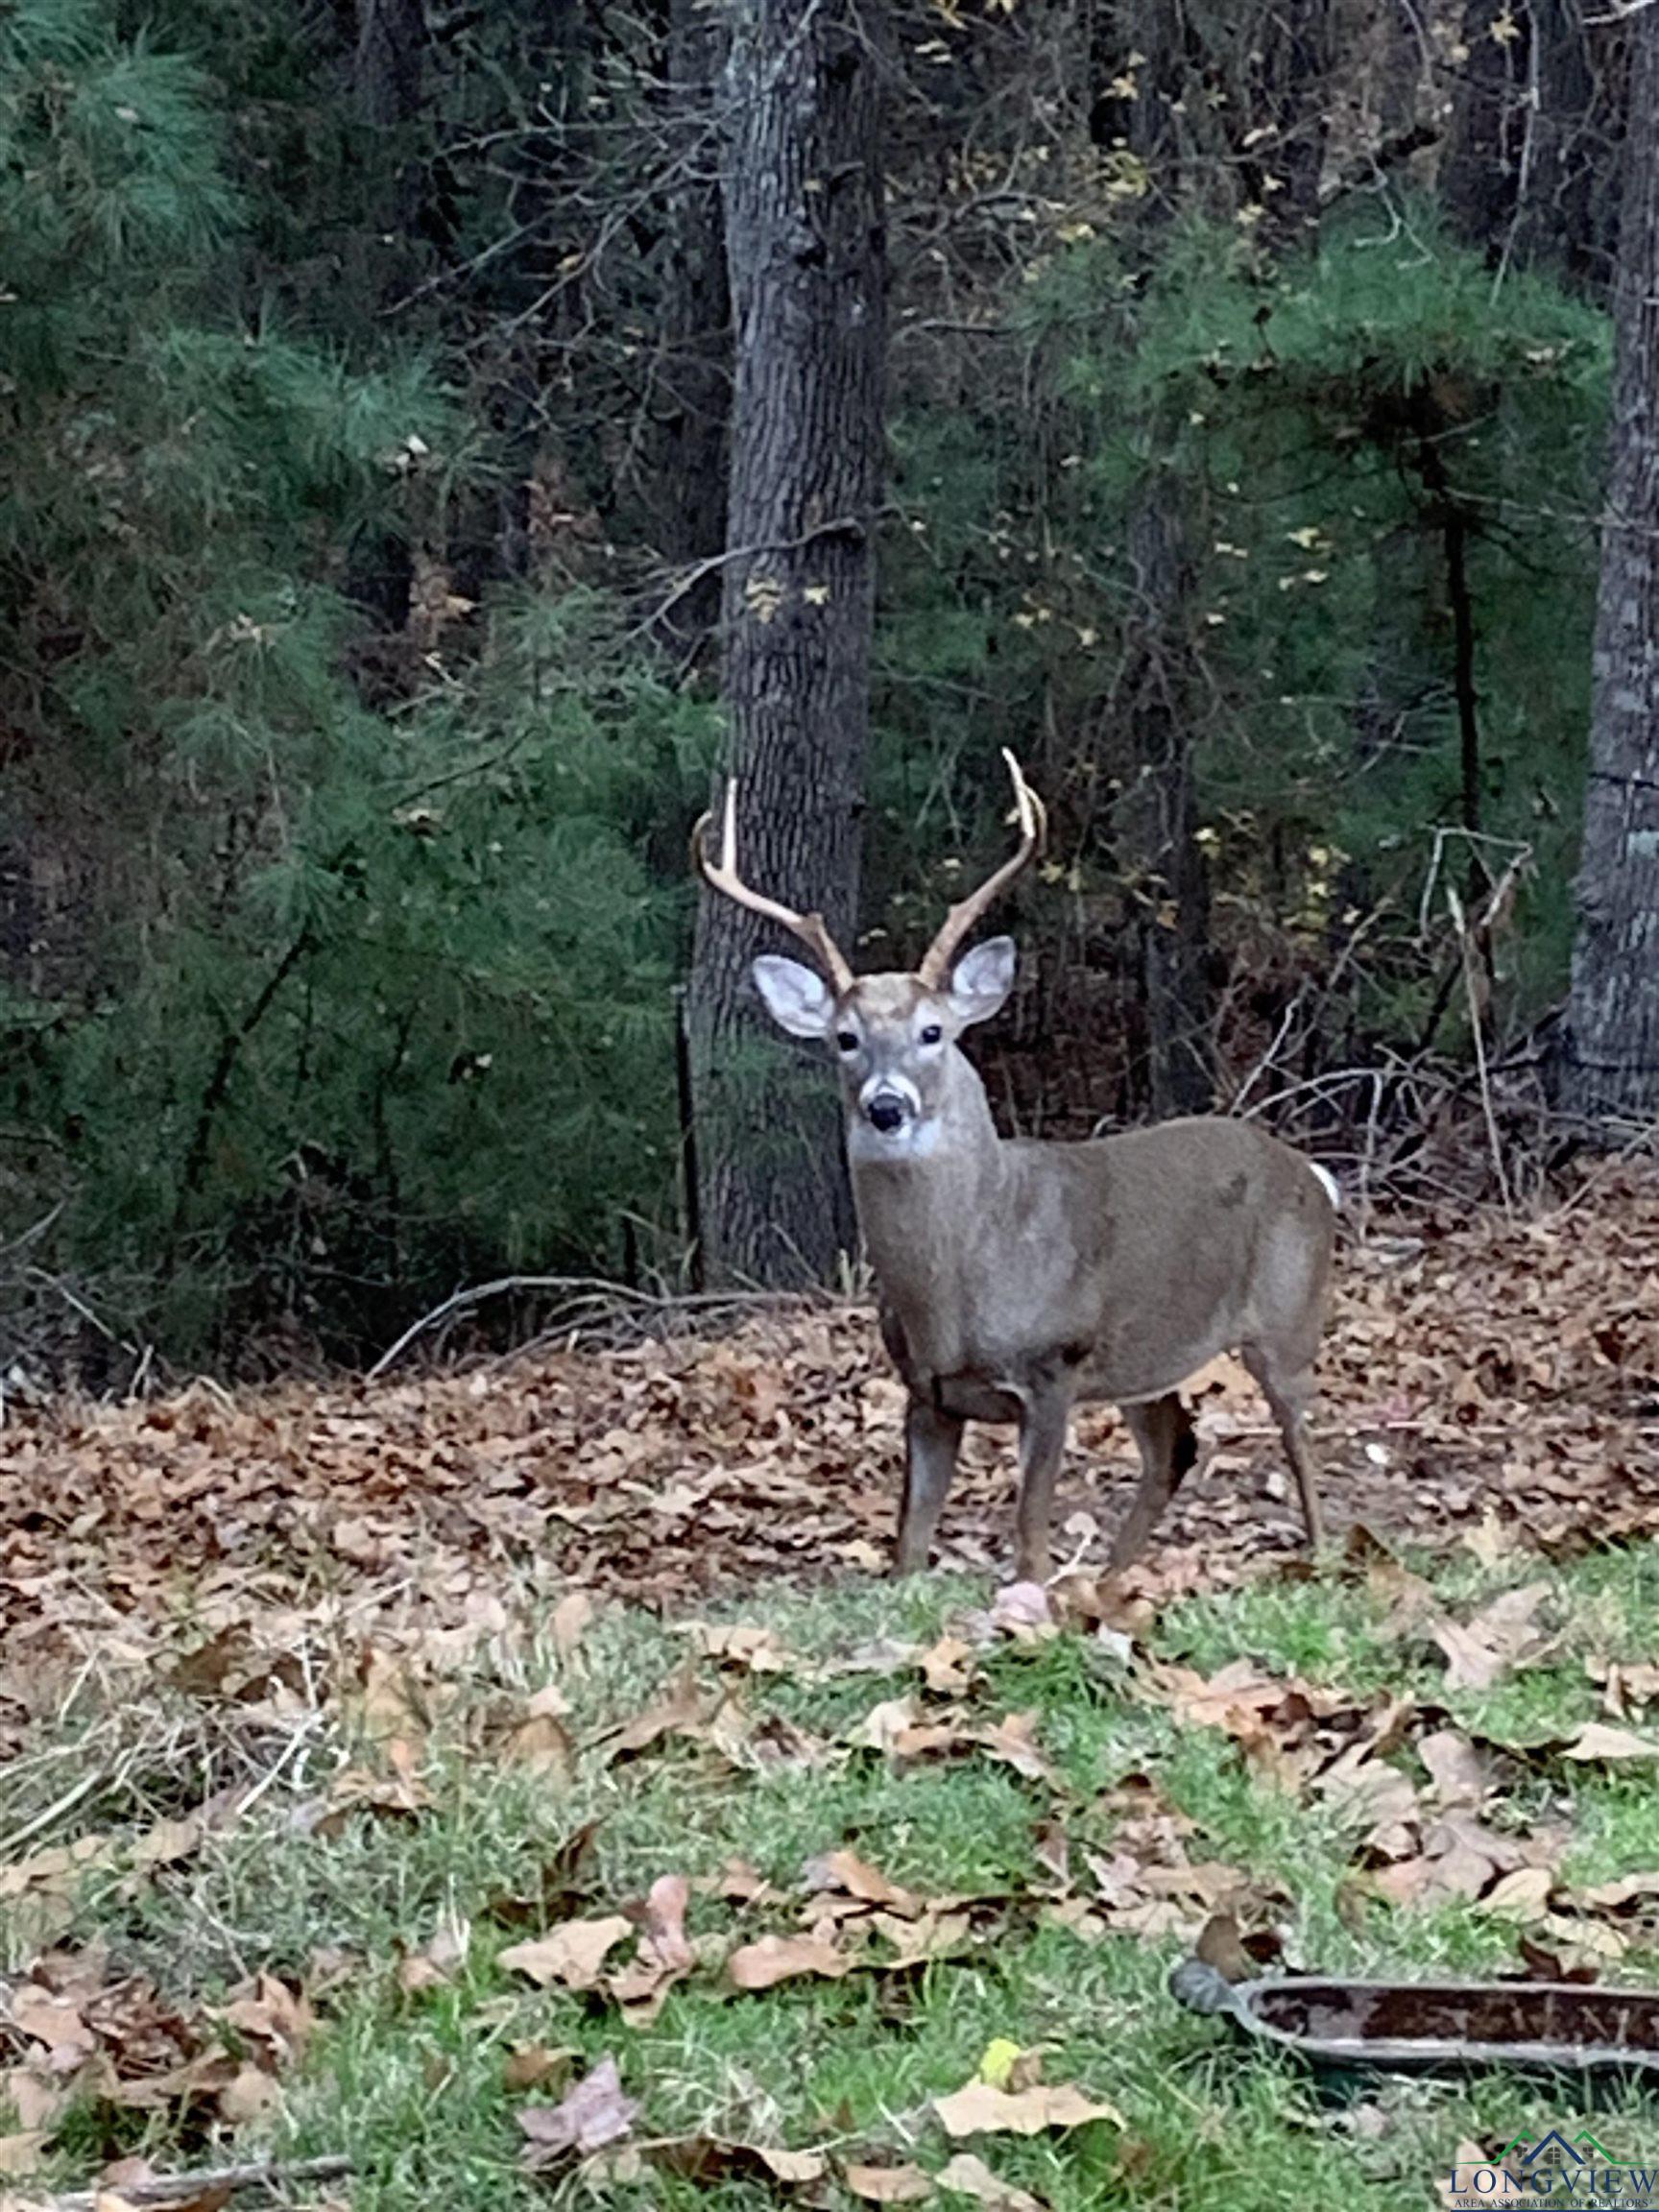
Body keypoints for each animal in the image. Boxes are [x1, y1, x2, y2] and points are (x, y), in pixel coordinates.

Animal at [694, 752, 1344, 1583]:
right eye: (845, 1038)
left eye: (933, 1031)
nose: (886, 1105)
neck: (963, 1285)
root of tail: (1311, 1174)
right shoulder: (927, 1394)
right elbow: (909, 1547)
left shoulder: (1053, 1369)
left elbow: (1029, 1536)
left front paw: (1032, 1598)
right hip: (1147, 1354)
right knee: (1173, 1447)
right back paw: (1108, 1581)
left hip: (1289, 1312)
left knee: (1299, 1432)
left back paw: (1322, 1554)